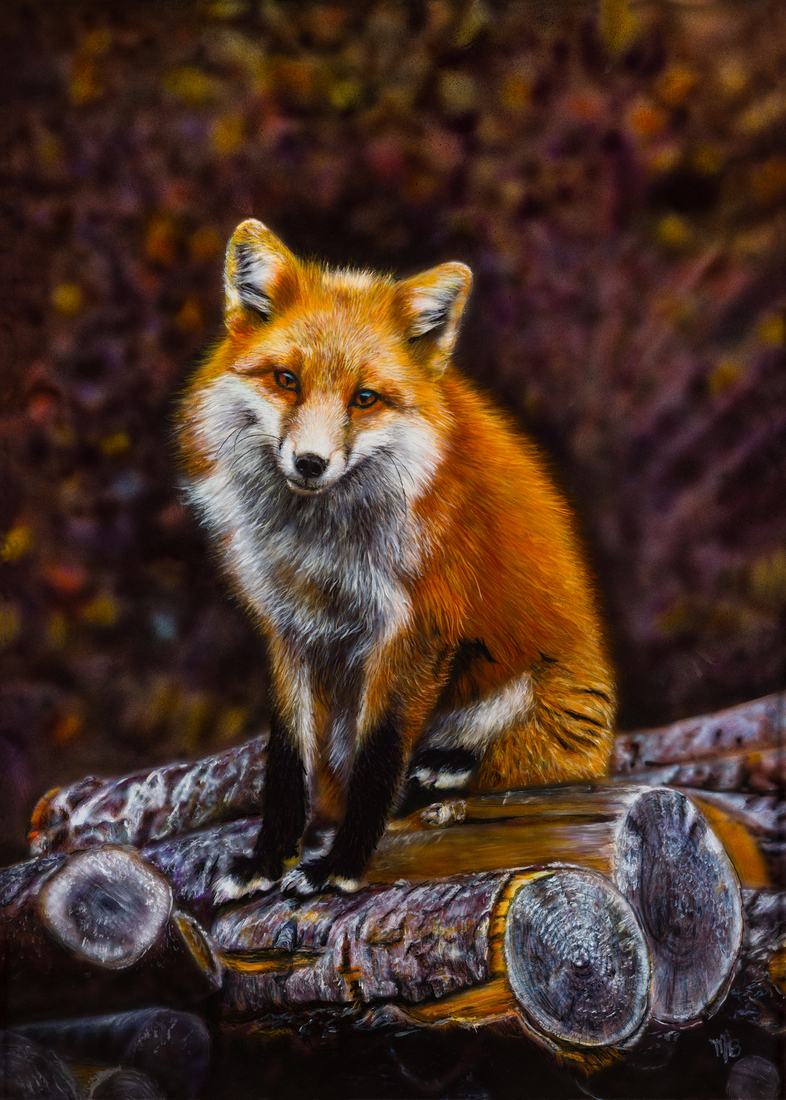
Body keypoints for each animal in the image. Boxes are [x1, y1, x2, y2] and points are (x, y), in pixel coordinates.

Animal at [177, 219, 616, 900]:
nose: (310, 464)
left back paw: (447, 774)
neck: (320, 549)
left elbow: (377, 760)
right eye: (286, 380)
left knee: (523, 767)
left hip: (544, 713)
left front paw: (341, 866)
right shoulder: (287, 630)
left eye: (364, 398)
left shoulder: (415, 628)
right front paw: (267, 860)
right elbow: (286, 766)